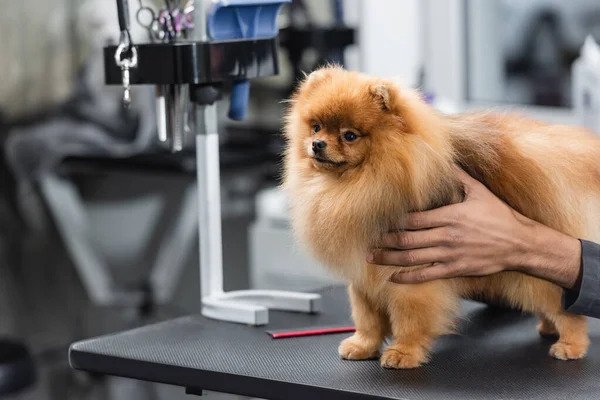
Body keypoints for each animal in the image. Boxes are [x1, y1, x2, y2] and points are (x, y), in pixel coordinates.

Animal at [282, 65, 596, 368]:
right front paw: (363, 346)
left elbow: (409, 319)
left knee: (568, 311)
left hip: (534, 279)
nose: (317, 144)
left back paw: (569, 344)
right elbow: (367, 318)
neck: (353, 186)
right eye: (316, 127)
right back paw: (548, 329)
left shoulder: (408, 278)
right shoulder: (363, 276)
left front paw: (403, 353)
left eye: (349, 135)